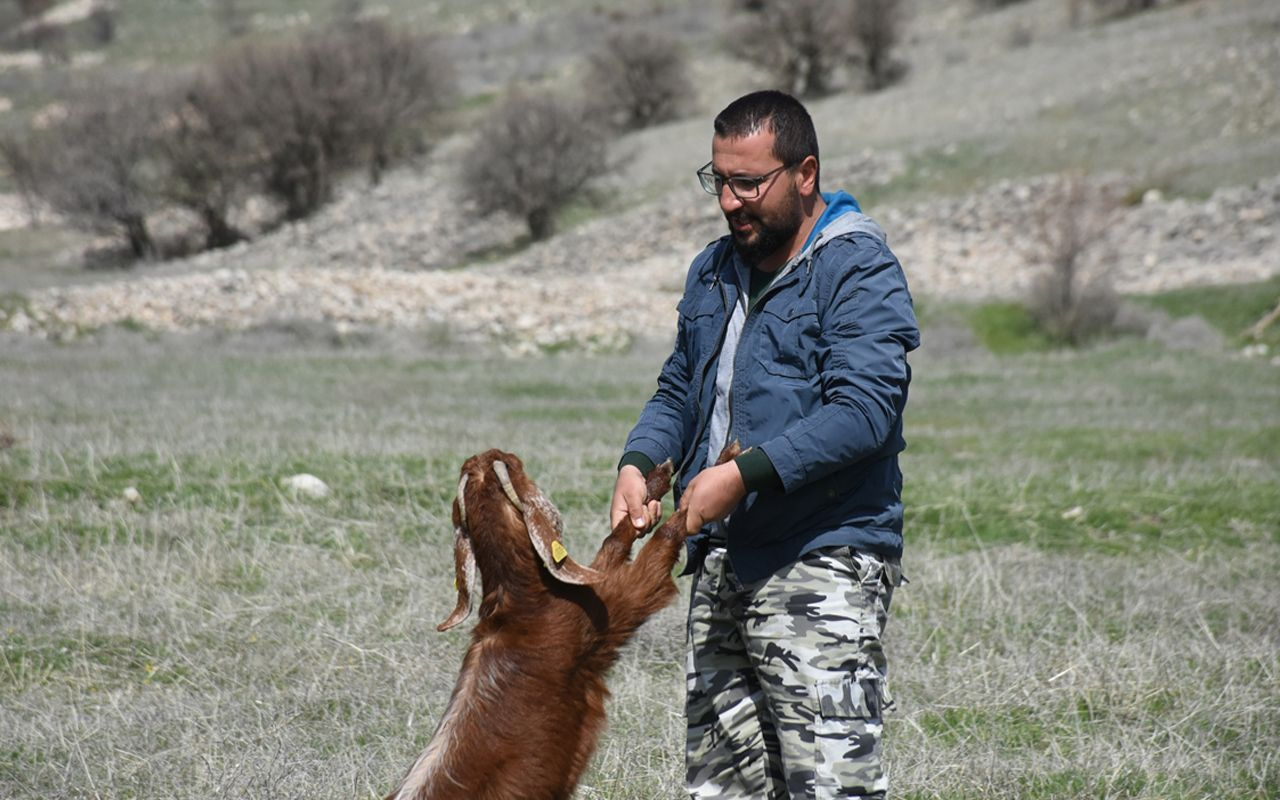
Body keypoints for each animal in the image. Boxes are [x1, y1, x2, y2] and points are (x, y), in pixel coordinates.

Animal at [381, 442, 742, 798]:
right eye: (514, 463)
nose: (493, 451)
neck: (522, 598)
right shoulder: (620, 605)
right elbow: (664, 537)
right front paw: (721, 465)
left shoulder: (592, 590)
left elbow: (615, 539)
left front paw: (656, 479)